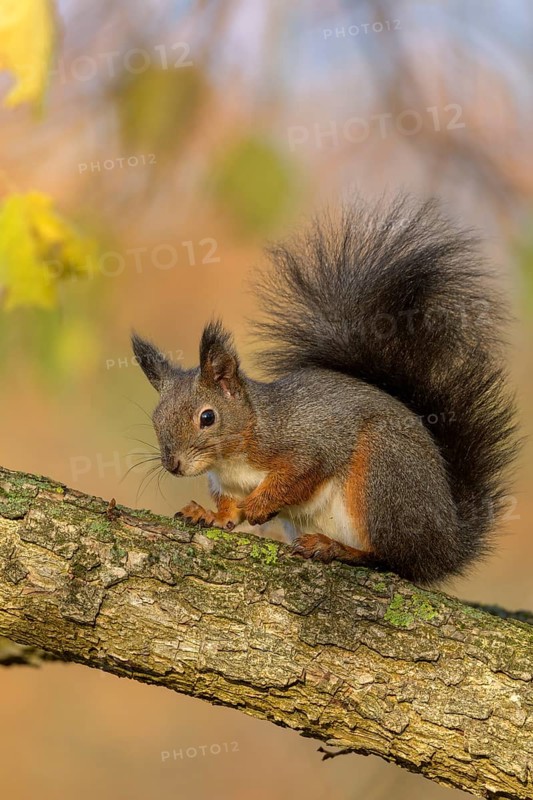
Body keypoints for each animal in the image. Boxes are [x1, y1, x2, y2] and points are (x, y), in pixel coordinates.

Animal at [132, 195, 518, 584]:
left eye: (207, 418)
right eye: (156, 420)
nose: (173, 464)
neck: (234, 457)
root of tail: (447, 542)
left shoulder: (311, 442)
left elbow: (299, 474)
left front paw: (259, 504)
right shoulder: (225, 485)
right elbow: (228, 513)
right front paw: (209, 515)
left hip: (382, 477)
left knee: (390, 557)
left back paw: (335, 548)